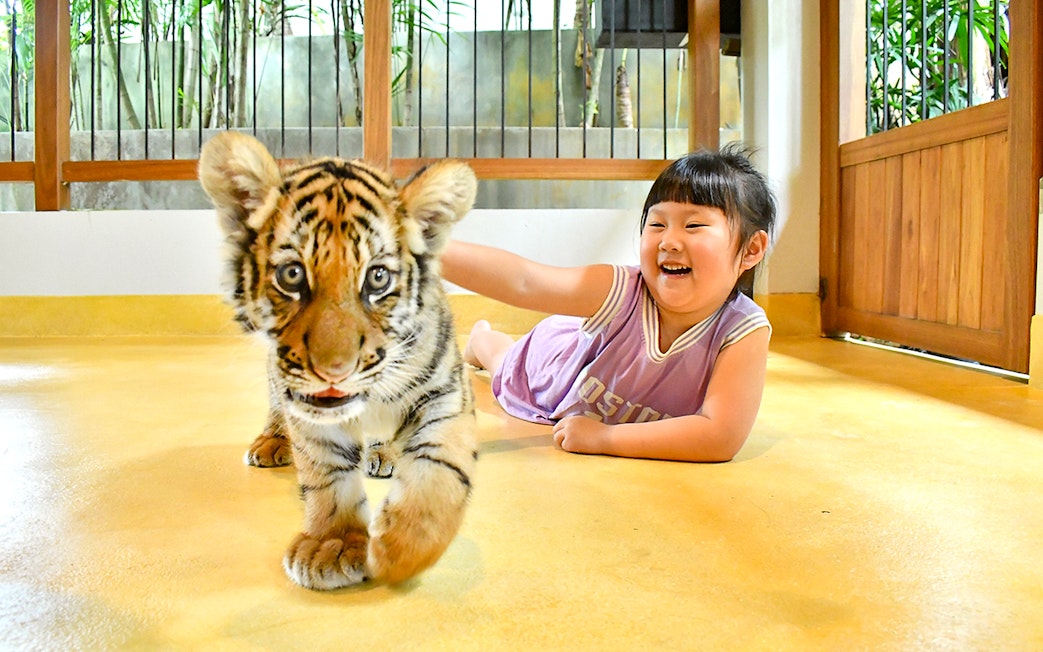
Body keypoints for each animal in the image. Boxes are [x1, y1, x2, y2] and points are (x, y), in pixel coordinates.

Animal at [198, 131, 478, 590]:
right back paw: (272, 442)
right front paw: (333, 544)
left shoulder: (446, 390)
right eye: (292, 275)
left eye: (378, 278)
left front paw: (400, 551)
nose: (334, 371)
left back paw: (383, 455)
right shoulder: (305, 404)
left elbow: (439, 467)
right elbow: (325, 472)